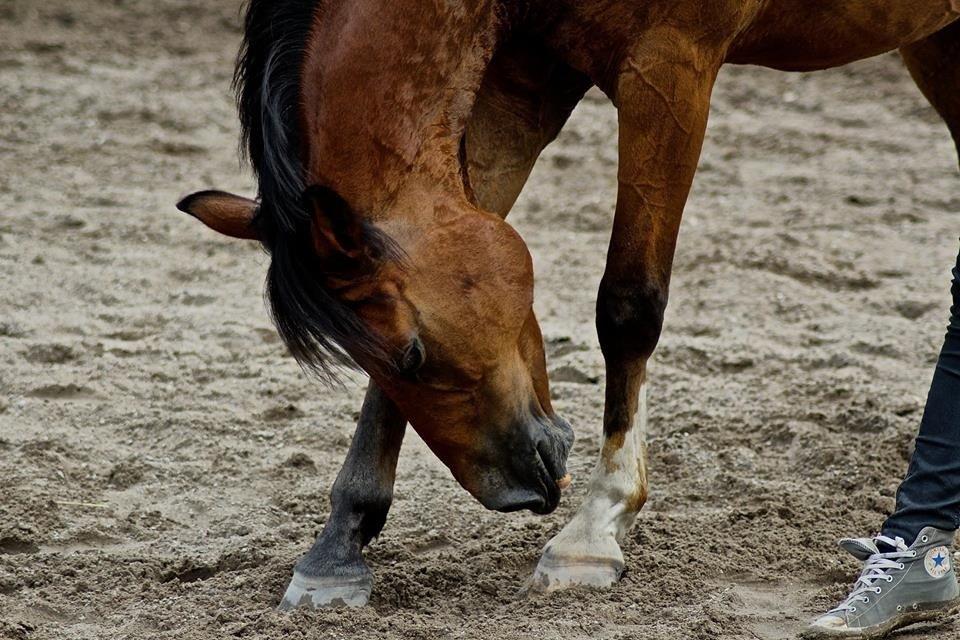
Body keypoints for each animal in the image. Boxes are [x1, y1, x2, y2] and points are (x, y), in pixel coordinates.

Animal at [176, 0, 960, 608]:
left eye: (414, 352)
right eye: (388, 357)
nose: (516, 492)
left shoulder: (670, 68)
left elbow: (628, 305)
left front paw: (595, 530)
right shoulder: (524, 77)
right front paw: (338, 546)